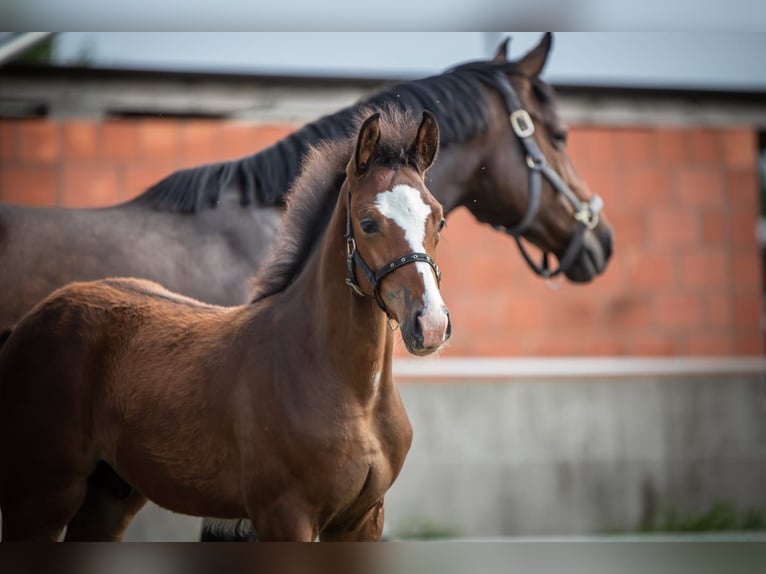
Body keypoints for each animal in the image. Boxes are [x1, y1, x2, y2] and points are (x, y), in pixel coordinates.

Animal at [0, 109, 450, 544]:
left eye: (439, 220)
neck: (353, 395)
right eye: (368, 222)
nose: (429, 324)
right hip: (42, 492)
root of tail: (31, 320)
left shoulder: (363, 520)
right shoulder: (284, 515)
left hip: (109, 495)